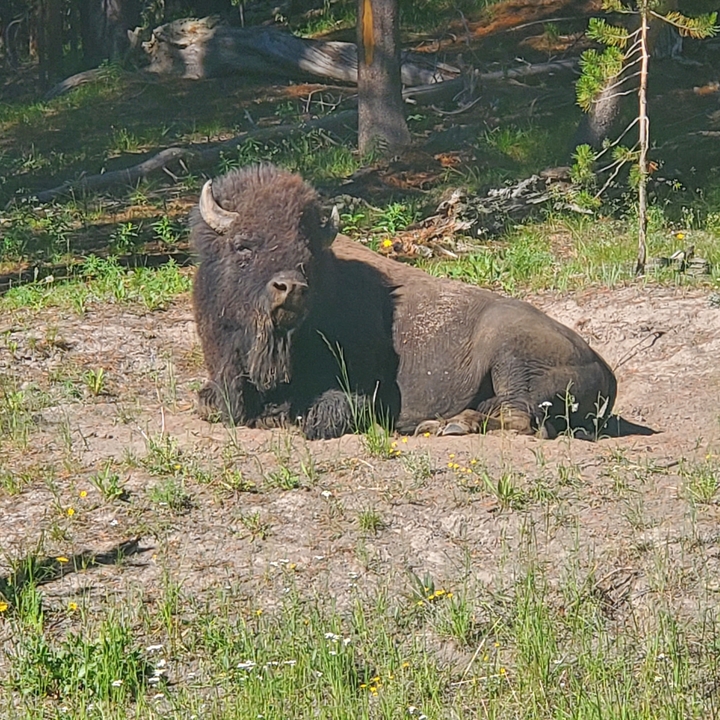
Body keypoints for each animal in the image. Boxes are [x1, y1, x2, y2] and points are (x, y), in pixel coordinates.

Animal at [191, 164, 617, 440]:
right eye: (243, 245)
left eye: (307, 253)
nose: (290, 288)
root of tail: (605, 368)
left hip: (511, 357)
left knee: (519, 419)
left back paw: (445, 425)